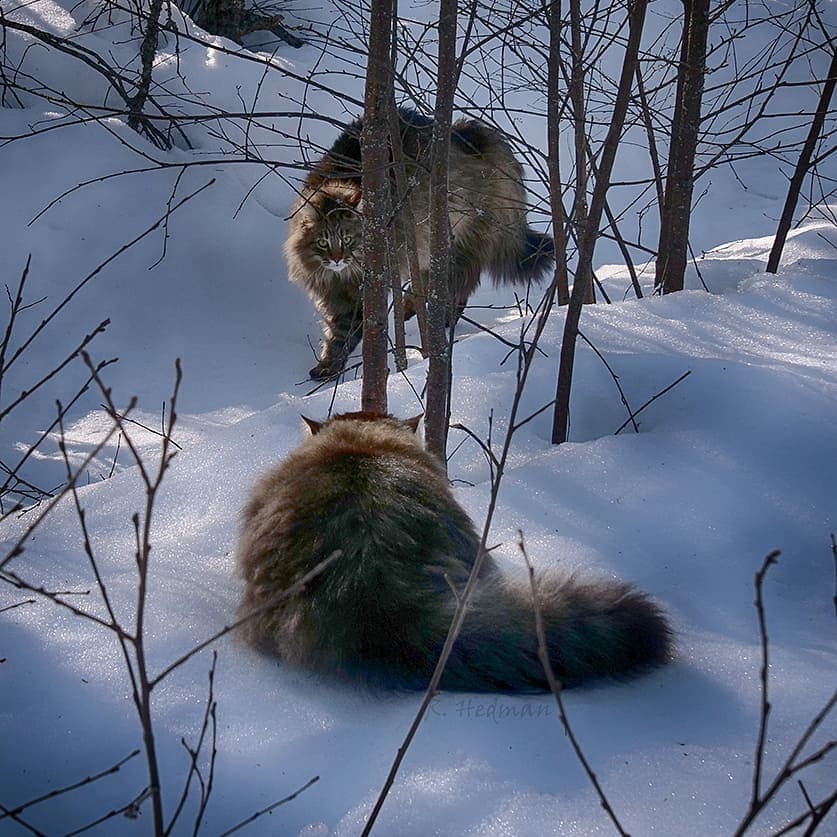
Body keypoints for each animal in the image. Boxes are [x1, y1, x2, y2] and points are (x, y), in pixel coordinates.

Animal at [286, 108, 556, 378]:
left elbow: (346, 333)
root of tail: (473, 134)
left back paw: (439, 319)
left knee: (456, 285)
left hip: (453, 240)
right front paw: (328, 364)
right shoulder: (336, 293)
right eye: (323, 242)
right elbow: (338, 331)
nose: (337, 258)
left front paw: (329, 366)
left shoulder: (367, 285)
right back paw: (413, 307)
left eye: (348, 239)